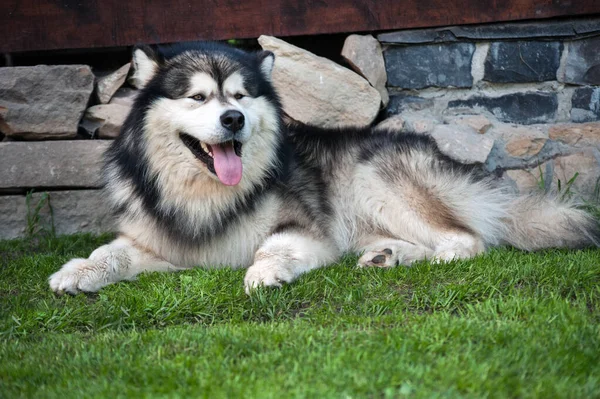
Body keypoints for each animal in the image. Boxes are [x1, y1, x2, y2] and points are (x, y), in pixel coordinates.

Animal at [48, 41, 600, 296]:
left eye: (241, 97)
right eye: (199, 98)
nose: (234, 119)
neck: (205, 194)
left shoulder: (310, 232)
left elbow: (273, 246)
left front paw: (263, 272)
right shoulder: (157, 242)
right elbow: (111, 252)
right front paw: (78, 271)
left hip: (375, 179)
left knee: (467, 239)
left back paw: (430, 256)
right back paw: (388, 255)